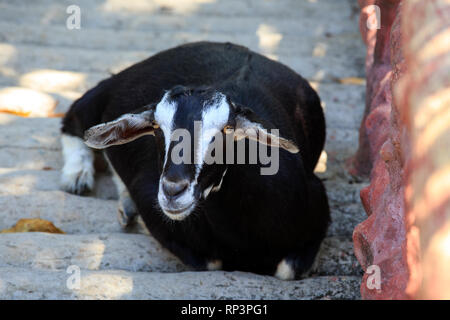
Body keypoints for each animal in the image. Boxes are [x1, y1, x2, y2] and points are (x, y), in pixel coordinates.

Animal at [59, 41, 328, 278]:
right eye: (156, 127)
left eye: (227, 130)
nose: (172, 191)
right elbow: (210, 262)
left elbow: (288, 270)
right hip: (106, 90)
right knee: (75, 116)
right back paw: (77, 176)